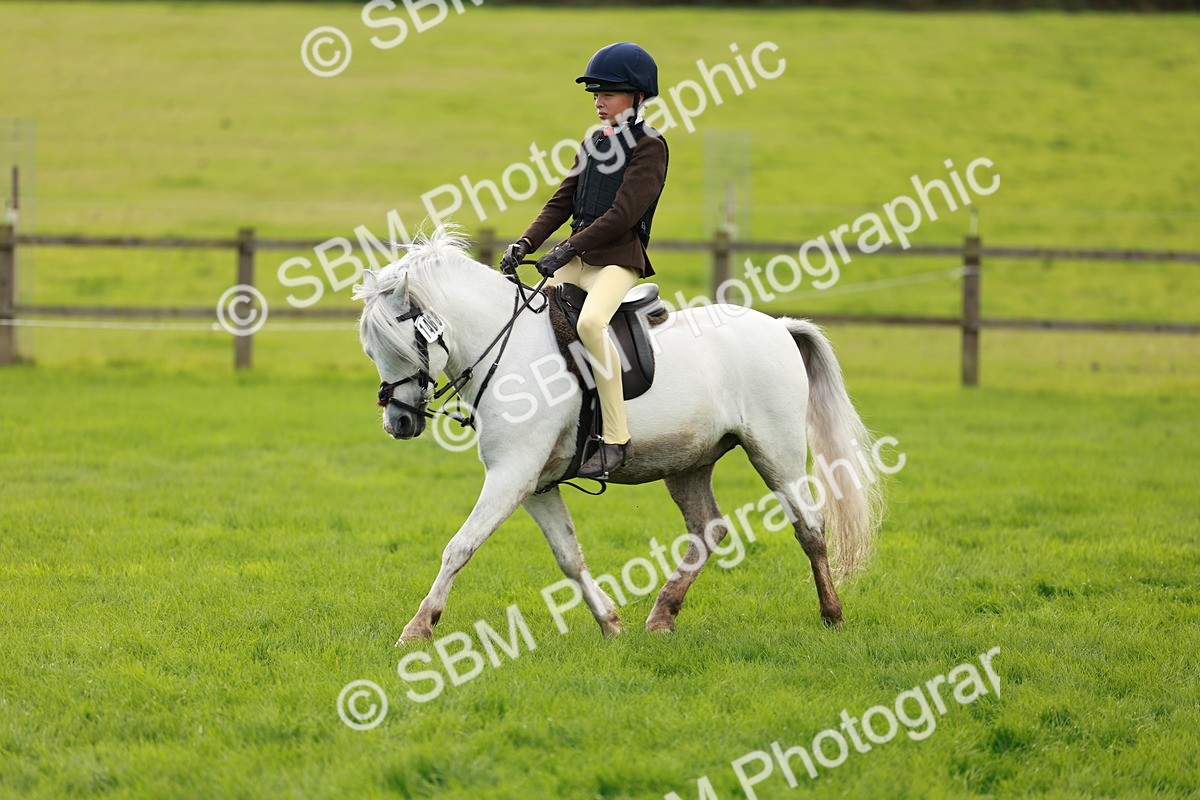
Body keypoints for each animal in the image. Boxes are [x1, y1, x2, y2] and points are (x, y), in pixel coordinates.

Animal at [354, 226, 884, 644]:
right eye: (371, 349)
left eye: (404, 344)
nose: (399, 422)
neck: (508, 346)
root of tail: (778, 327)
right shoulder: (534, 484)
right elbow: (569, 557)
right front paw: (609, 622)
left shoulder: (511, 475)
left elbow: (460, 546)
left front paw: (418, 628)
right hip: (689, 461)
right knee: (708, 530)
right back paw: (662, 616)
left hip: (776, 452)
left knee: (808, 525)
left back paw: (832, 613)